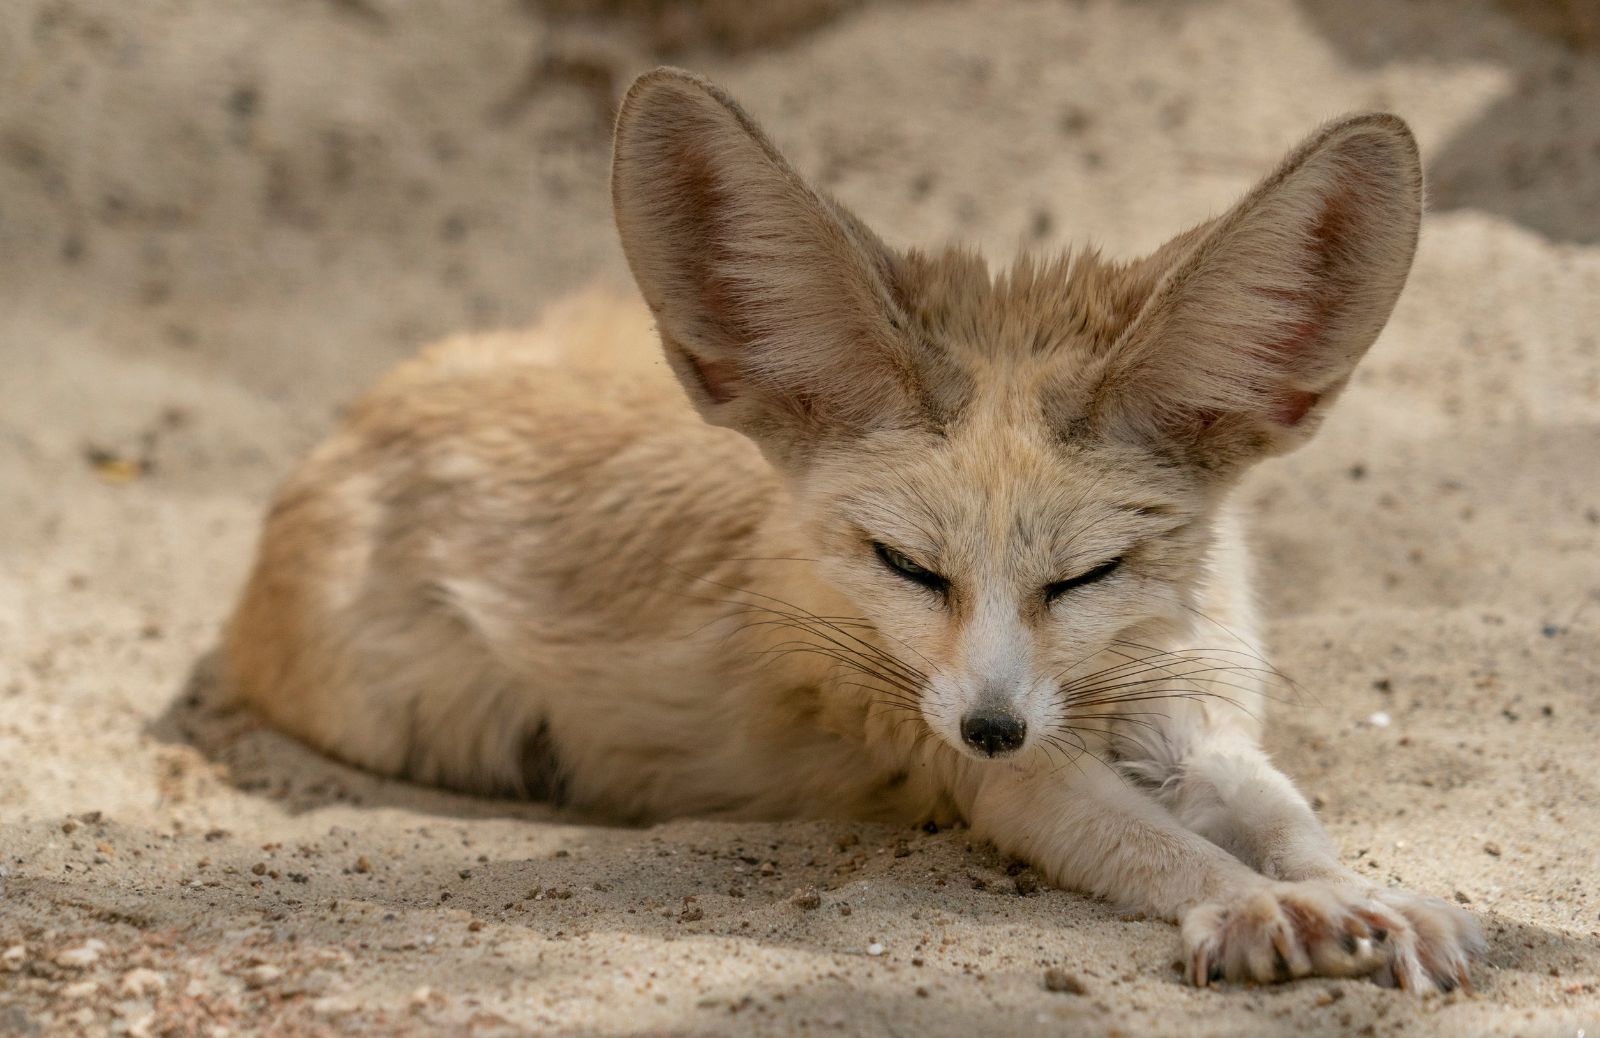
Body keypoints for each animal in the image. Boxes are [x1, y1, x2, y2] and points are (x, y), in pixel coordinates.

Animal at [222, 68, 1472, 991]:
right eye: (907, 568)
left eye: (1088, 575)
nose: (991, 726)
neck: (1118, 674)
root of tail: (377, 399)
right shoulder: (994, 772)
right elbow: (1168, 851)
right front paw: (1260, 903)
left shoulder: (1194, 720)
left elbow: (1286, 815)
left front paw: (1355, 892)